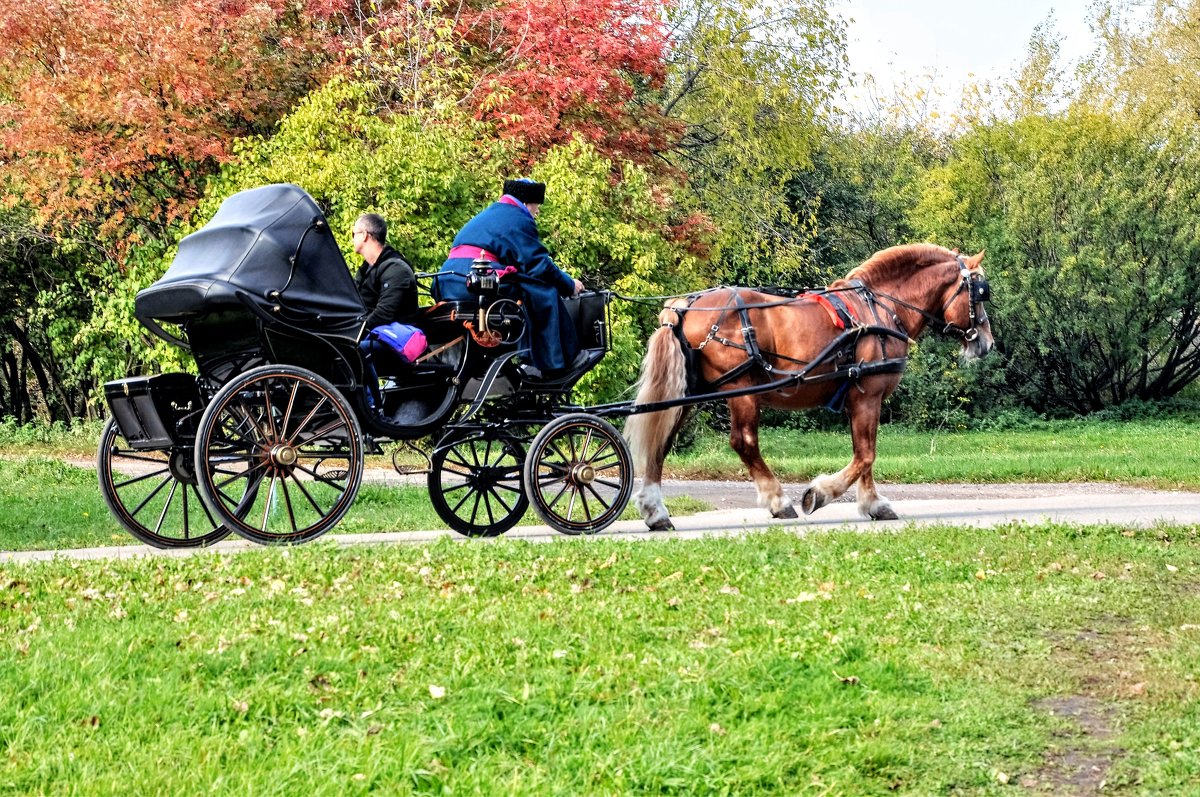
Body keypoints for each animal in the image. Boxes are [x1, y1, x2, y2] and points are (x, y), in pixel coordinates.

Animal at [619, 242, 993, 528]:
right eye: (980, 294)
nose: (987, 343)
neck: (881, 309)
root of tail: (685, 305)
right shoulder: (868, 396)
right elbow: (866, 455)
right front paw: (821, 494)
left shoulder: (859, 401)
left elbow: (865, 455)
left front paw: (873, 504)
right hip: (741, 390)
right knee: (744, 442)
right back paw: (777, 500)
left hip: (687, 393)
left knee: (661, 442)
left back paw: (655, 510)